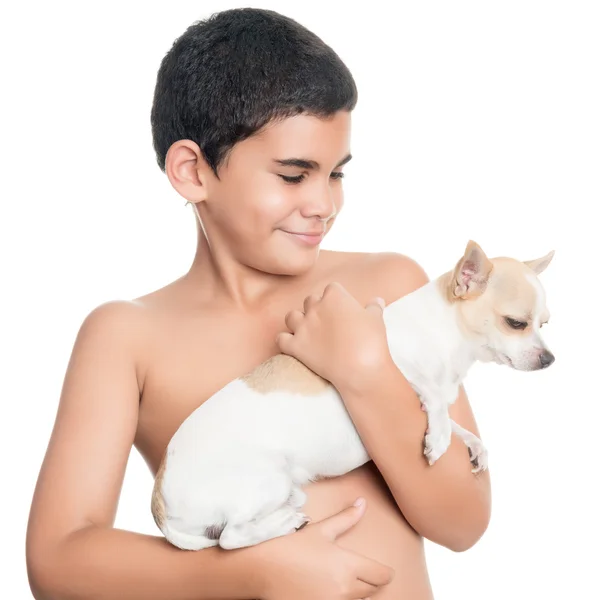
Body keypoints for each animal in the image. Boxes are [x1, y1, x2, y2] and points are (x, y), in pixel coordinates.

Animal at [150, 241, 552, 552]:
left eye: (545, 323)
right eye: (516, 323)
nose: (549, 359)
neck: (446, 334)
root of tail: (159, 500)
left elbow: (452, 420)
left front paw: (472, 444)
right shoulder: (388, 366)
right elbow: (435, 399)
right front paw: (438, 437)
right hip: (265, 478)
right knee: (229, 537)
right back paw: (283, 525)